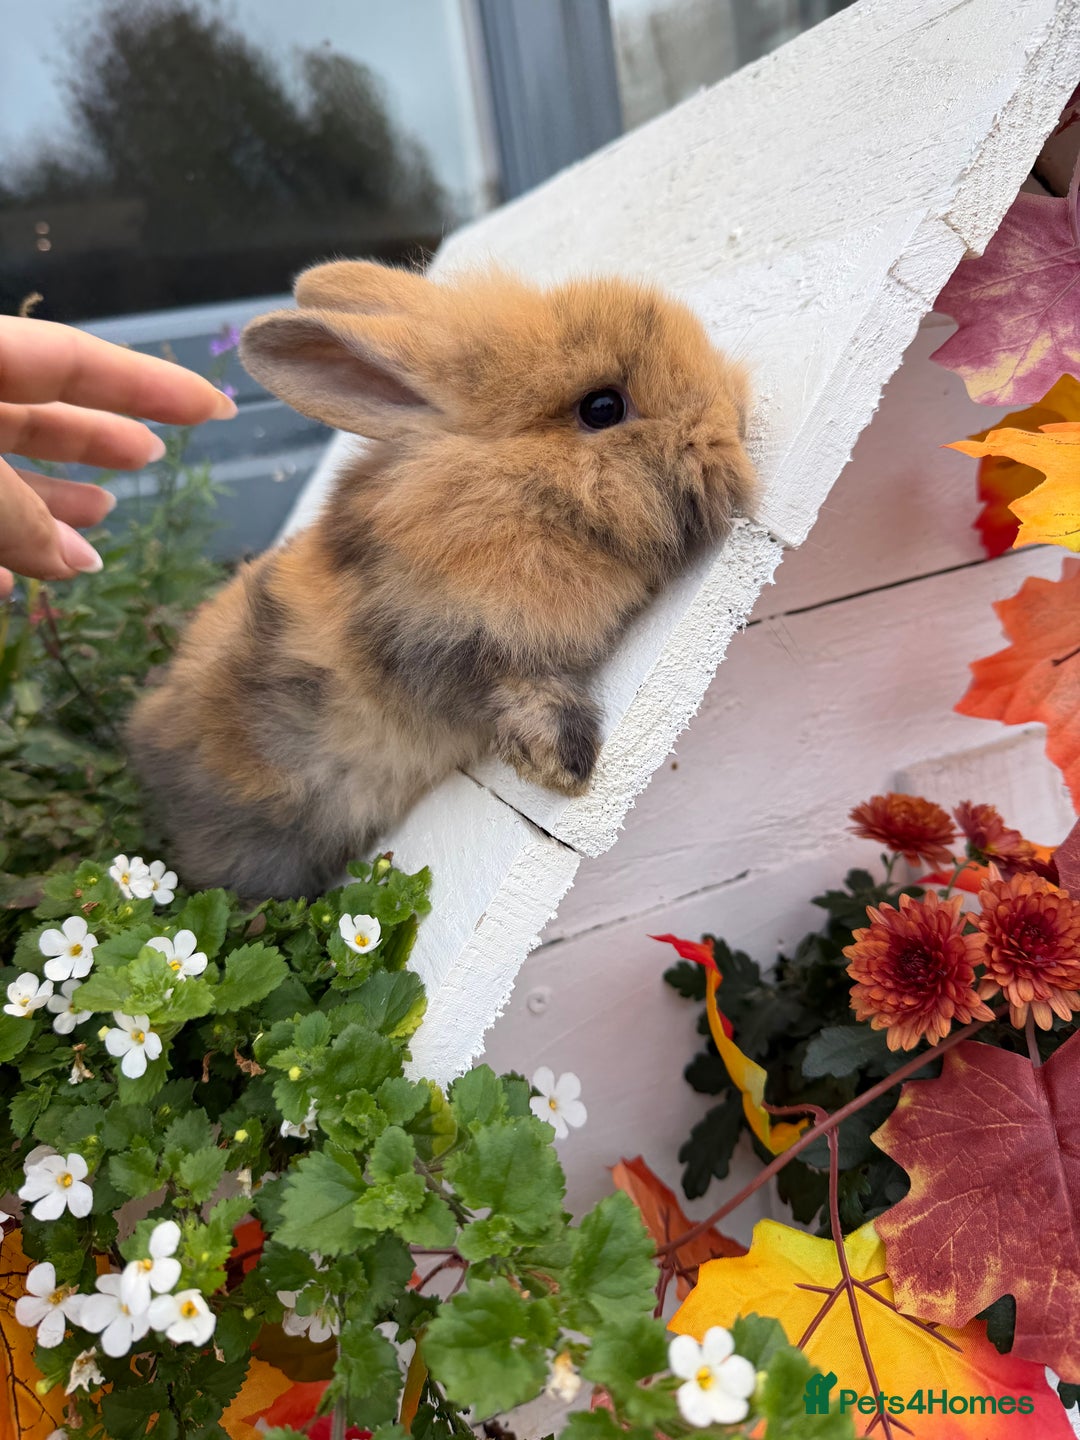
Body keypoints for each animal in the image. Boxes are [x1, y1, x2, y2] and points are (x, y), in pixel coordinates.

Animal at [127, 260, 755, 899]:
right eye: (602, 407)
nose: (727, 424)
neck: (510, 492)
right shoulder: (442, 641)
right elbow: (513, 687)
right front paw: (565, 764)